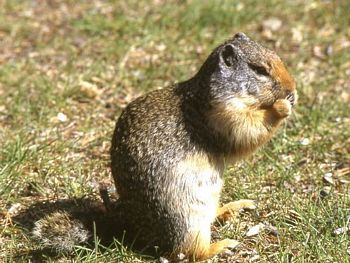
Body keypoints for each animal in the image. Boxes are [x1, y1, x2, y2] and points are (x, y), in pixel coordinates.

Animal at [32, 33, 296, 262]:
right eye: (259, 69)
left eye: (277, 55)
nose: (292, 88)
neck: (211, 91)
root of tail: (130, 227)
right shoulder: (222, 114)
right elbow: (246, 130)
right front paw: (281, 107)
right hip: (188, 221)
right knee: (190, 252)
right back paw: (222, 245)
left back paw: (231, 208)